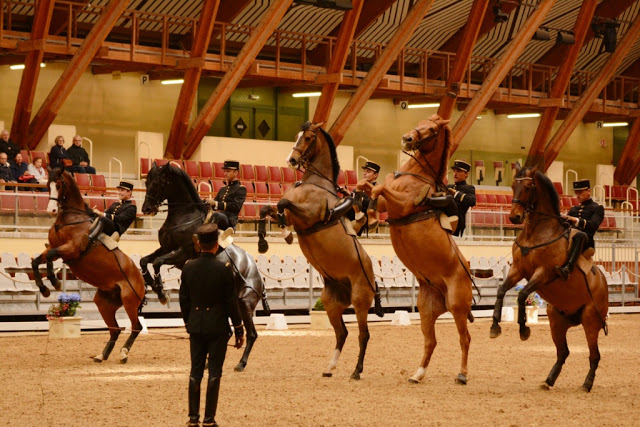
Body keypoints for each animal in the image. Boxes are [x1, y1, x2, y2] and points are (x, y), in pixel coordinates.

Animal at [32, 169, 150, 362]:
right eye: (48, 184)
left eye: (59, 185)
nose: (51, 210)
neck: (71, 219)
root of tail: (142, 280)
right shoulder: (54, 248)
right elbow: (36, 261)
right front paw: (44, 289)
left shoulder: (70, 250)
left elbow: (49, 257)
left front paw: (54, 282)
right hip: (104, 304)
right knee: (115, 329)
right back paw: (102, 355)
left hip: (129, 302)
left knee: (136, 326)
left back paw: (123, 353)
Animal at [140, 164, 270, 372]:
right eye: (147, 181)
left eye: (159, 182)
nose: (146, 209)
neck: (184, 217)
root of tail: (258, 274)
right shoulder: (165, 248)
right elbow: (144, 261)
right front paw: (153, 285)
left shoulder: (183, 253)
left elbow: (157, 262)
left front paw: (161, 293)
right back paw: (212, 363)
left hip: (245, 303)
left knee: (251, 334)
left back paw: (241, 364)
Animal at [256, 121, 384, 382]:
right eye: (297, 135)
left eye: (307, 138)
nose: (292, 160)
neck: (315, 184)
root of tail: (372, 278)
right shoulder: (293, 215)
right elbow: (269, 209)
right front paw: (266, 240)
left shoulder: (308, 216)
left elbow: (283, 204)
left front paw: (285, 234)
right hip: (331, 304)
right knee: (342, 333)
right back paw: (330, 368)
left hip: (360, 301)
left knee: (363, 334)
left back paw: (356, 371)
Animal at [362, 113, 472, 384]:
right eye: (421, 121)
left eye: (431, 129)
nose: (407, 138)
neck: (415, 174)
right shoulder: (388, 203)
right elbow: (371, 188)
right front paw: (366, 210)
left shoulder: (402, 203)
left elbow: (379, 188)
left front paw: (370, 214)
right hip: (426, 310)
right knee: (430, 341)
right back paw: (418, 373)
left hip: (458, 306)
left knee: (465, 339)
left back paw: (462, 375)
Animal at [490, 166, 608, 392]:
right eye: (513, 185)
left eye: (528, 187)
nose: (514, 217)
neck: (536, 233)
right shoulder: (518, 270)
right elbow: (501, 291)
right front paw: (494, 327)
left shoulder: (543, 273)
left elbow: (522, 295)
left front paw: (524, 329)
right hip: (556, 321)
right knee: (563, 353)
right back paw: (549, 380)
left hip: (591, 320)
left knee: (595, 355)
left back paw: (587, 384)